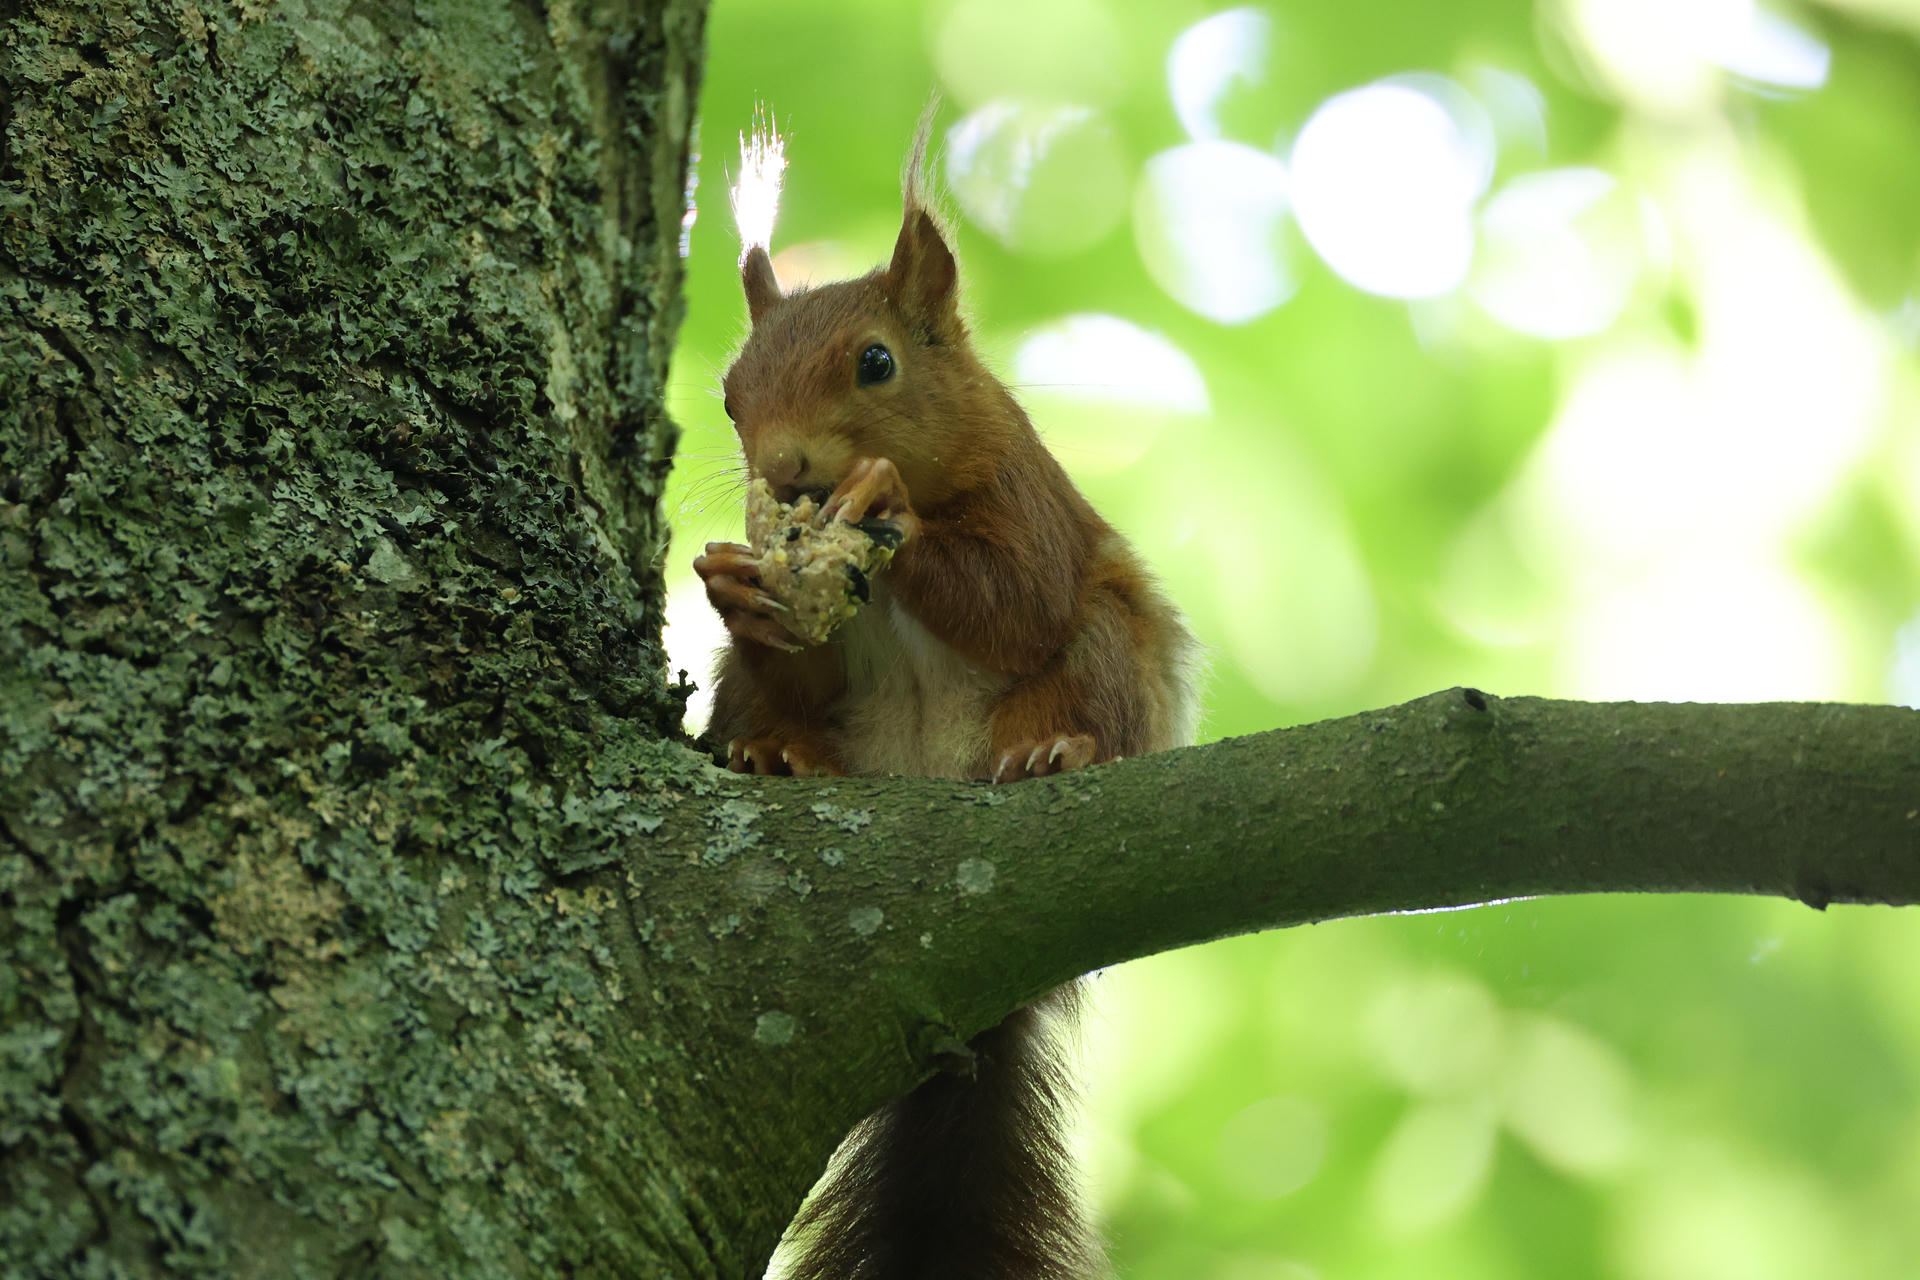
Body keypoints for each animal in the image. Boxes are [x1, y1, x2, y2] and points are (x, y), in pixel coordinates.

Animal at [694, 117, 1199, 1280]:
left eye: (876, 362)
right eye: (731, 395)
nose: (784, 468)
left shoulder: (1028, 497)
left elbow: (1017, 600)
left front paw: (891, 513)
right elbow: (804, 655)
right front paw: (737, 585)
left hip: (1111, 650)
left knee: (1080, 665)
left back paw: (1053, 753)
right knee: (771, 712)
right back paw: (777, 753)